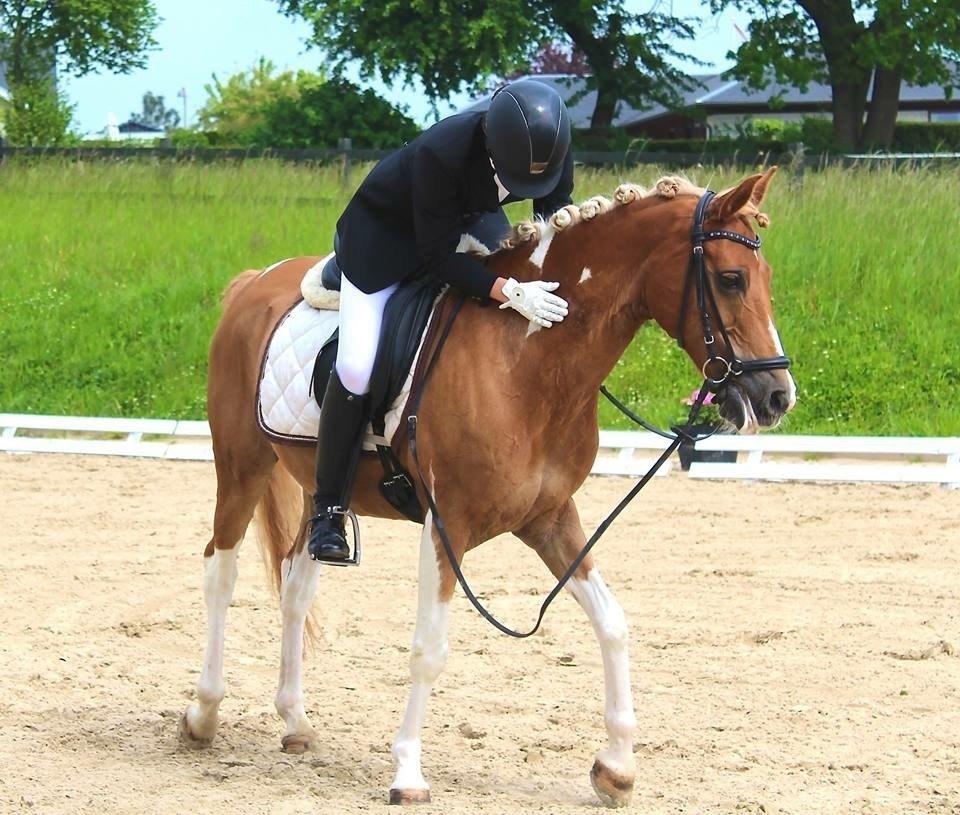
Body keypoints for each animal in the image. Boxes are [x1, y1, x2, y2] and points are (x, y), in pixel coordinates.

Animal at [180, 167, 796, 807]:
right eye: (730, 279)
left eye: (765, 278)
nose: (778, 396)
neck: (527, 359)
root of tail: (256, 282)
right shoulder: (446, 523)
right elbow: (429, 648)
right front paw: (408, 774)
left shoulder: (551, 518)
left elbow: (612, 623)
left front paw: (617, 768)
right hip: (241, 465)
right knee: (220, 572)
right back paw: (202, 713)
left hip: (319, 489)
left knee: (297, 587)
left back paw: (295, 721)